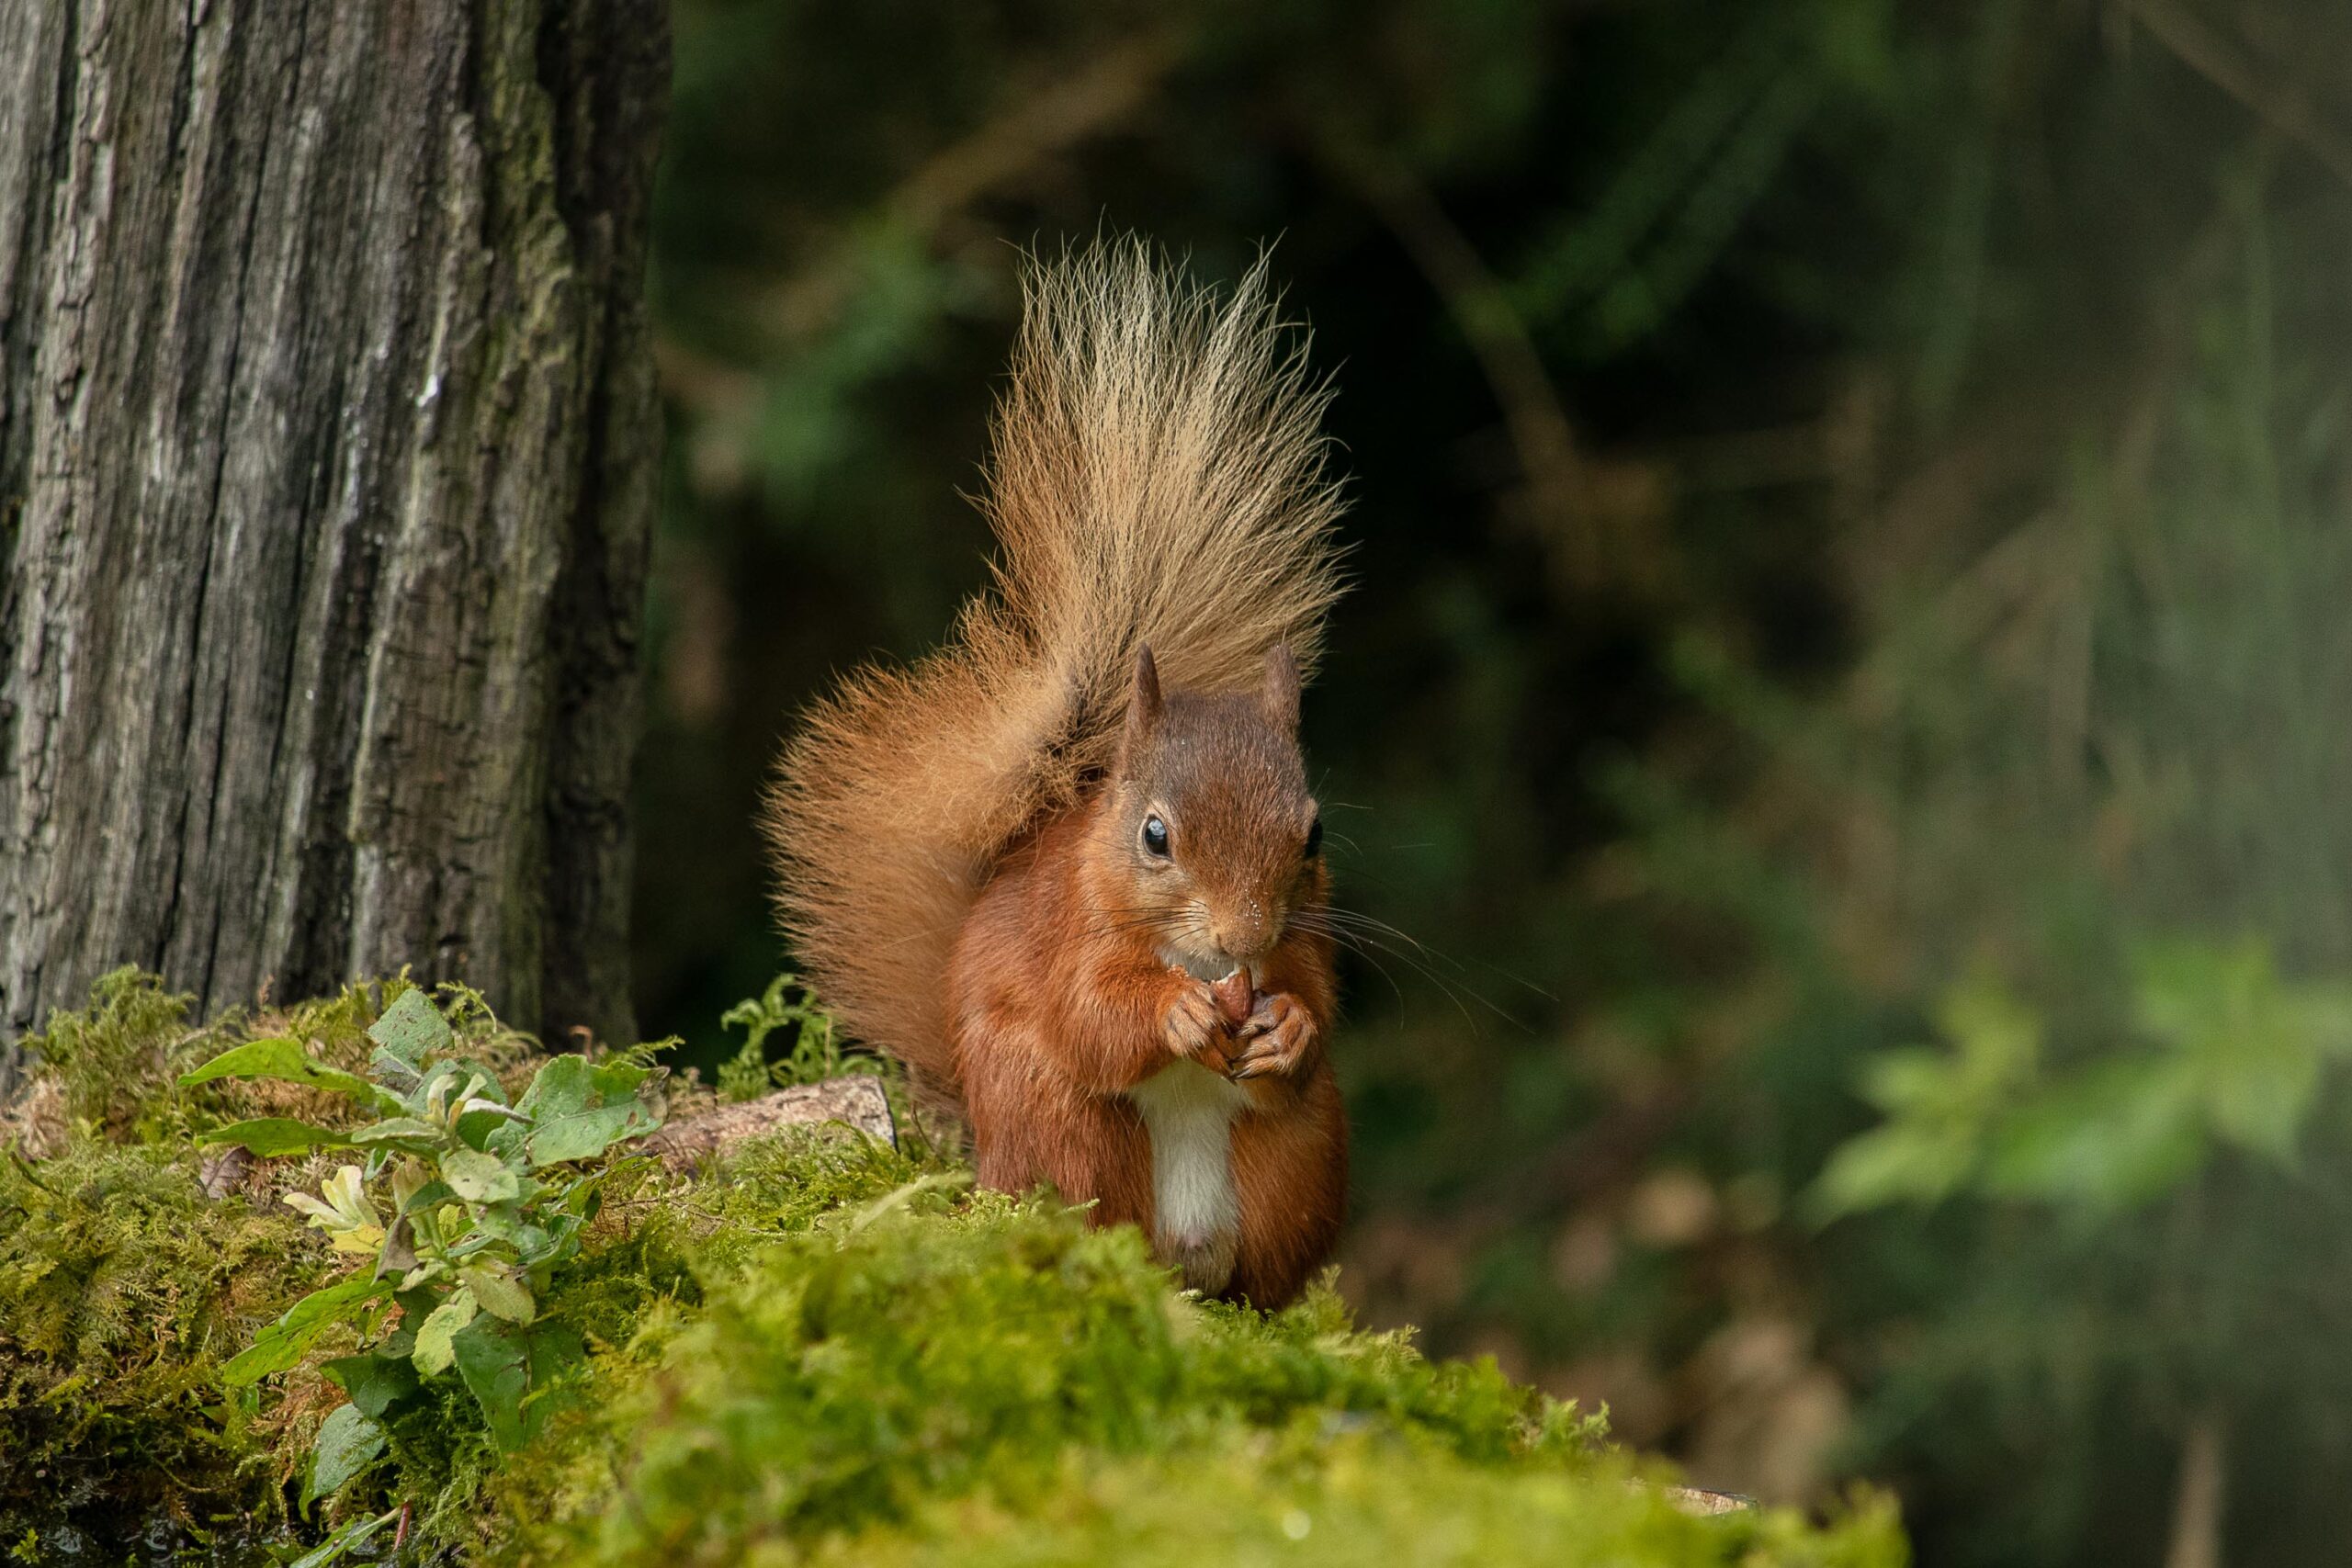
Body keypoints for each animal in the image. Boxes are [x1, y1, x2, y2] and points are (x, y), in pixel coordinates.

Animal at [761, 241, 1350, 1307]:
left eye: (1313, 833)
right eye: (1154, 835)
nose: (1243, 936)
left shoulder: (1307, 942)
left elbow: (1316, 1007)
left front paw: (1283, 1024)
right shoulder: (1064, 939)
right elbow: (1092, 1020)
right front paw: (1174, 1012)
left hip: (1300, 1158)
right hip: (1058, 1125)